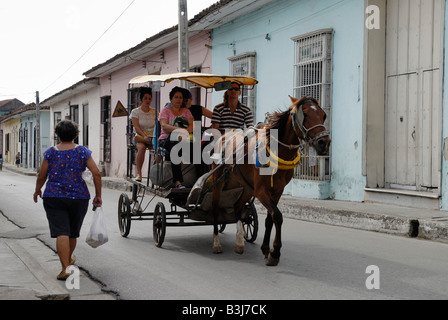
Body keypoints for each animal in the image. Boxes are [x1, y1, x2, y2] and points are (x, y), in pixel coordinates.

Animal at [209, 96, 328, 266]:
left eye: (323, 115)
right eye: (304, 114)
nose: (324, 142)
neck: (277, 151)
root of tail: (224, 137)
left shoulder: (277, 190)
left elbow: (269, 219)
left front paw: (266, 250)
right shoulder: (261, 191)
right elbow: (277, 216)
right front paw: (275, 252)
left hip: (247, 187)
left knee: (238, 206)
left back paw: (239, 243)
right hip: (218, 180)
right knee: (216, 208)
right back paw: (217, 243)